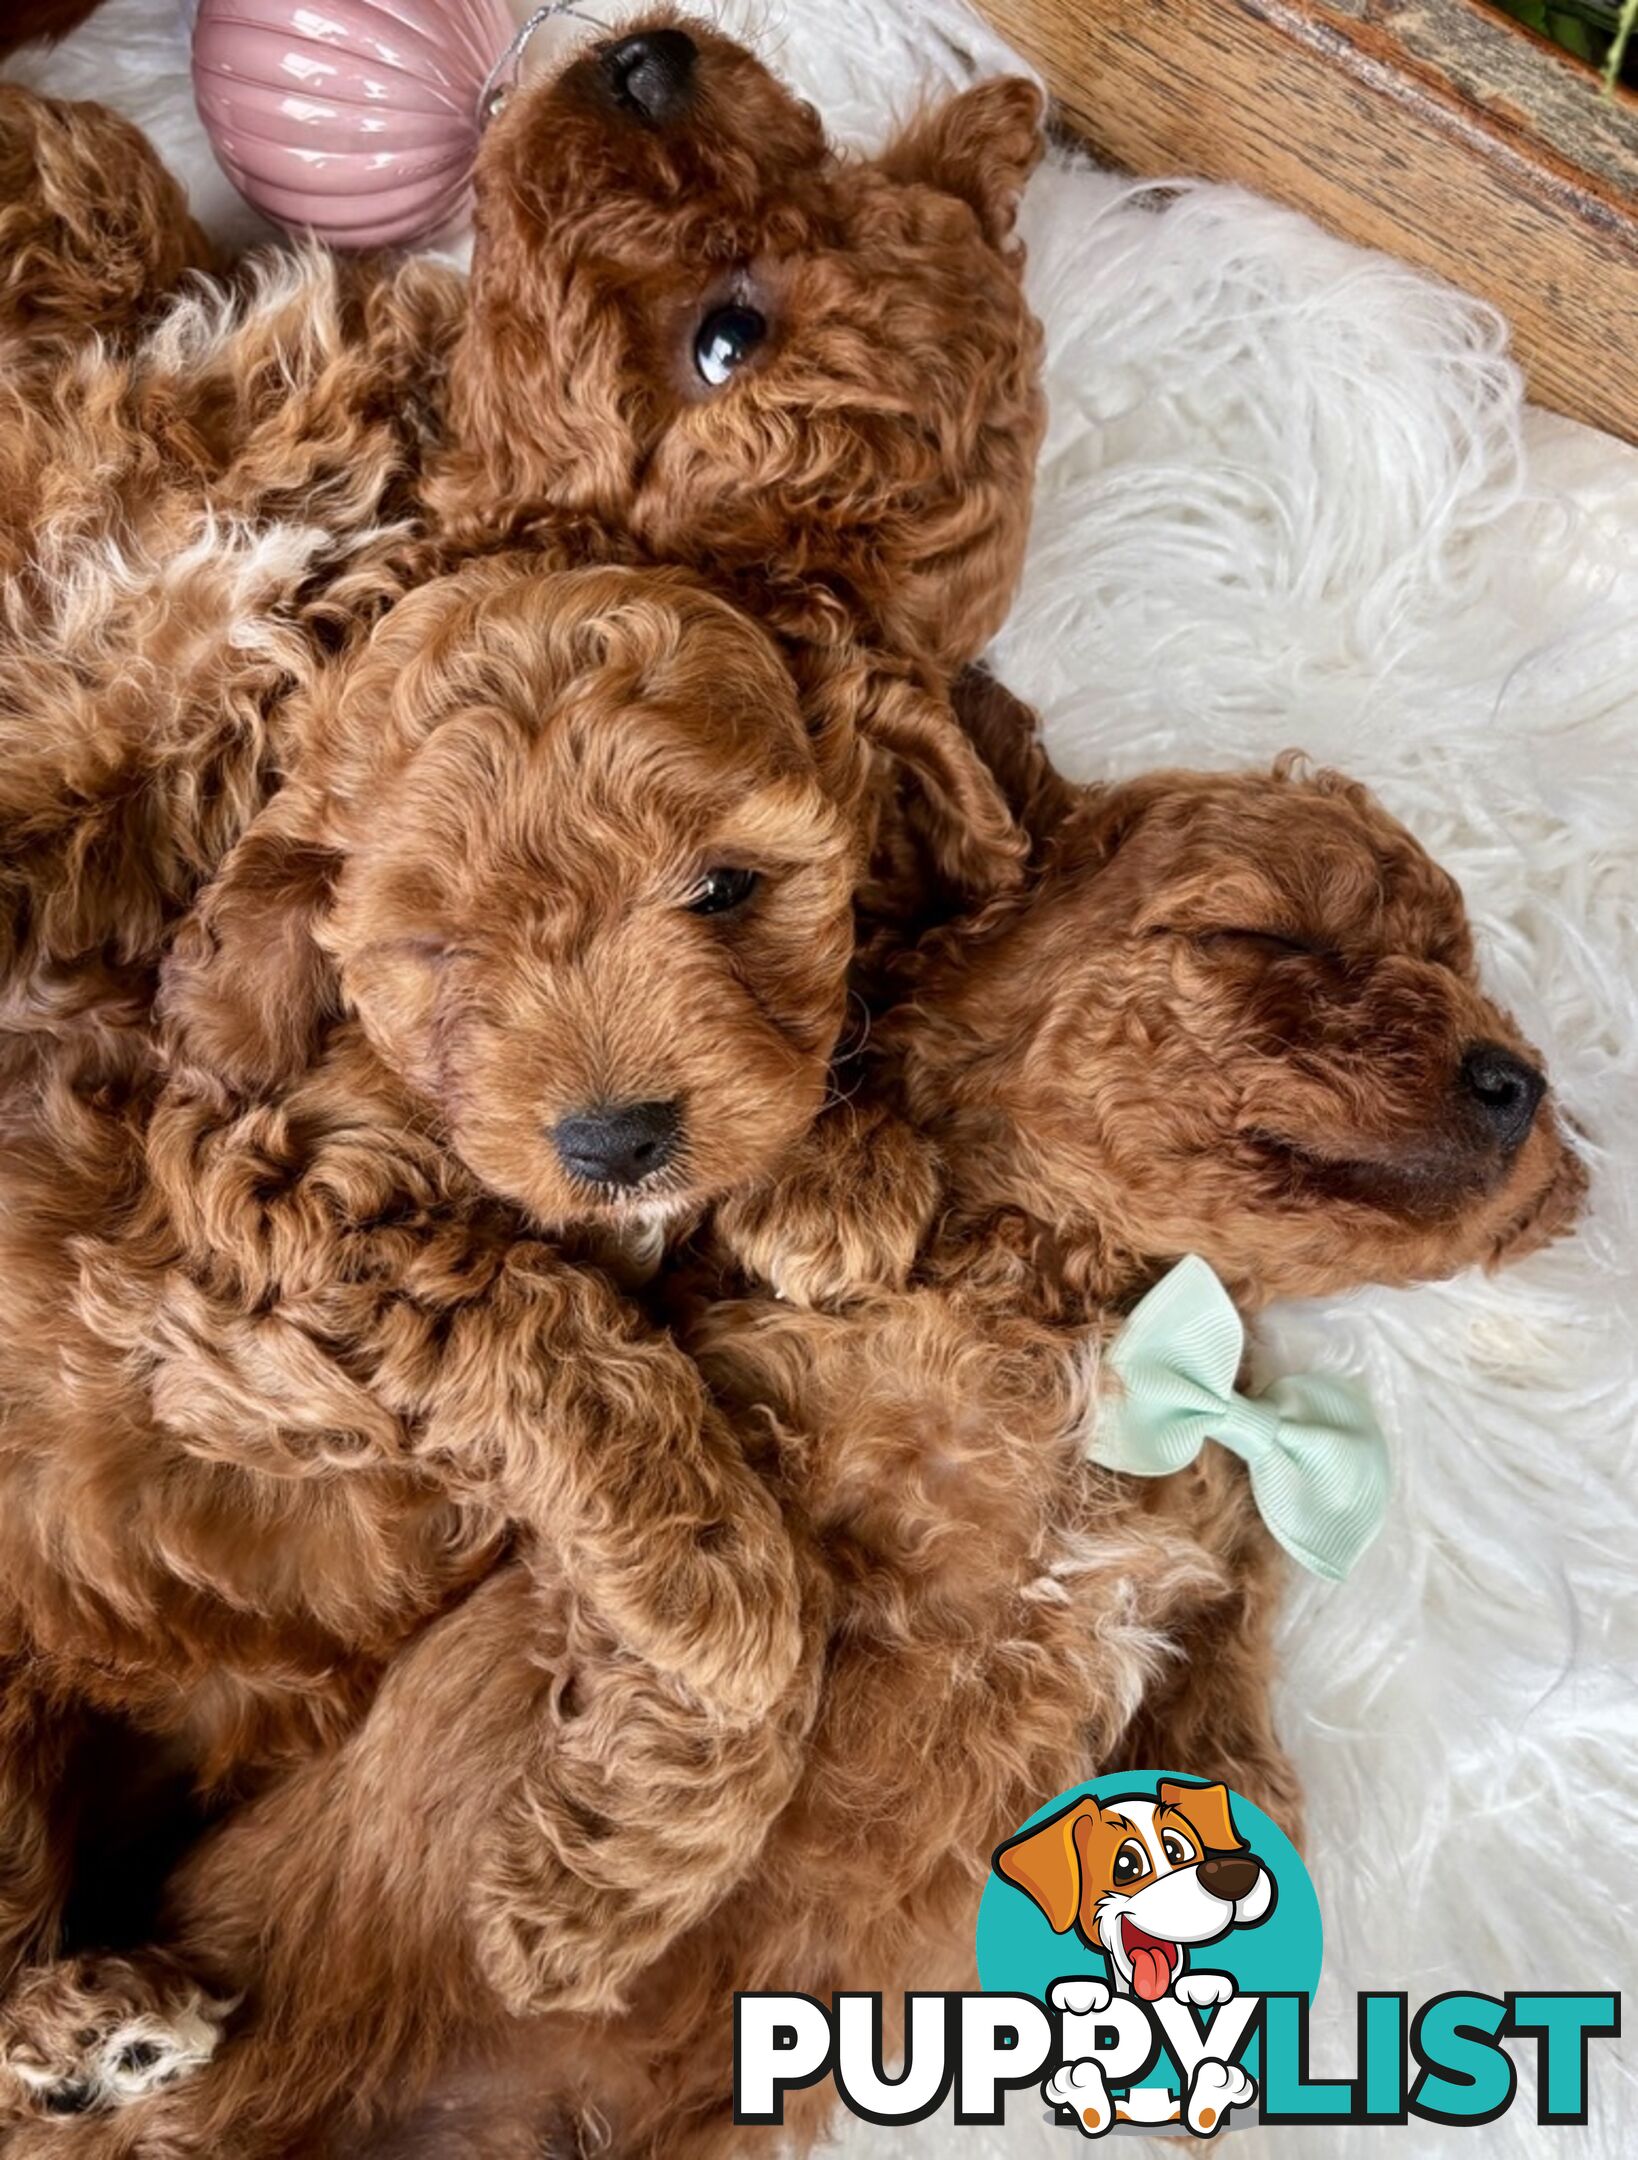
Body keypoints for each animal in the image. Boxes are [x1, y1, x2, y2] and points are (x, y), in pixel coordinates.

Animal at [0, 730, 1590, 2160]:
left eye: (1463, 968)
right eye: (1259, 933)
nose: (1513, 1077)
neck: (1109, 1318)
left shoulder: (1214, 1562)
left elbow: (1231, 1724)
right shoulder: (711, 1466)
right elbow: (762, 1642)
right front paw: (589, 1905)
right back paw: (94, 2037)